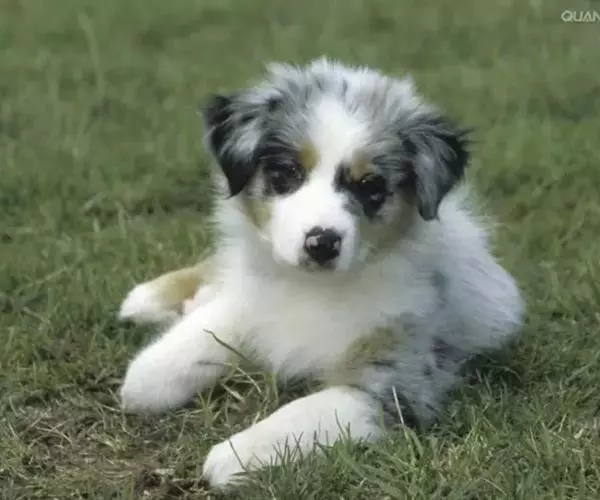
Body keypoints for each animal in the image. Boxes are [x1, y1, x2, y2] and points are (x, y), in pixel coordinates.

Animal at [117, 58, 524, 489]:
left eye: (370, 186)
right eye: (288, 173)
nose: (322, 243)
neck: (314, 287)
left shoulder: (395, 382)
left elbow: (304, 411)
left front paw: (234, 454)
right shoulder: (254, 301)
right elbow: (189, 346)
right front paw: (150, 373)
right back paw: (150, 298)